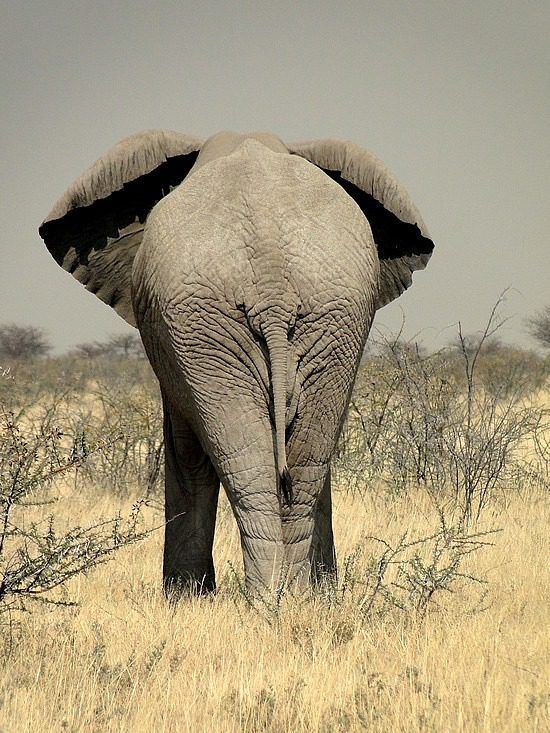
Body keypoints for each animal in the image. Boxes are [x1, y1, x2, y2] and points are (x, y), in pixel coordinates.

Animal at [38, 130, 436, 596]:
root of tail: (271, 279)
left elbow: (185, 450)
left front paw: (185, 600)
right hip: (315, 315)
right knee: (299, 468)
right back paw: (292, 599)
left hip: (221, 321)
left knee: (247, 466)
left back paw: (268, 600)